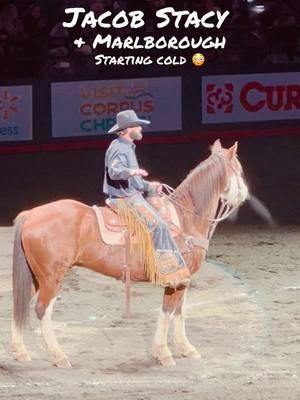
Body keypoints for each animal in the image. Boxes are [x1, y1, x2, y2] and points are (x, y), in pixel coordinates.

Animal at [11, 138, 248, 368]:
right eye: (239, 169)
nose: (245, 195)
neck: (184, 218)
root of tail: (30, 214)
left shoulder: (183, 279)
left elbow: (179, 312)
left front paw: (186, 349)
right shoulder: (175, 280)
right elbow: (167, 312)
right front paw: (163, 353)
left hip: (36, 277)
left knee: (19, 304)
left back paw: (20, 352)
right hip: (52, 277)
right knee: (42, 310)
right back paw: (59, 357)